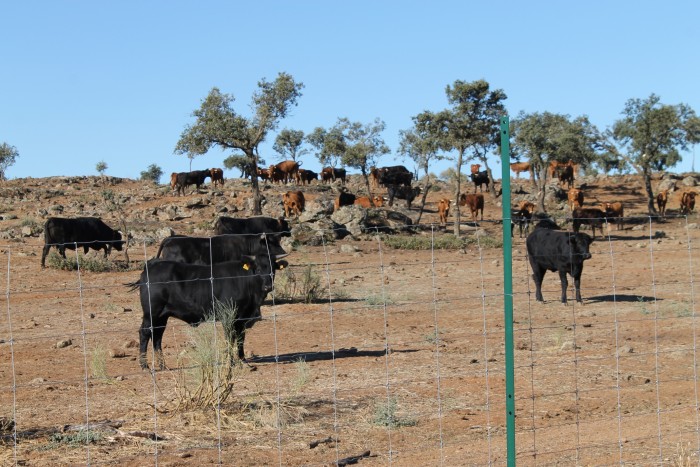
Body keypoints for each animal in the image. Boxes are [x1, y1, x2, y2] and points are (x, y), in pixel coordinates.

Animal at [129, 254, 288, 372]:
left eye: (273, 269)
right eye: (259, 269)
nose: (268, 286)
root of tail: (150, 267)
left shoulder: (242, 319)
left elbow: (240, 340)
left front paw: (243, 361)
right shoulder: (228, 317)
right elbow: (230, 339)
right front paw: (230, 362)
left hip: (162, 316)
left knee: (157, 337)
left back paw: (163, 366)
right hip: (151, 314)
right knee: (145, 333)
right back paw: (145, 366)